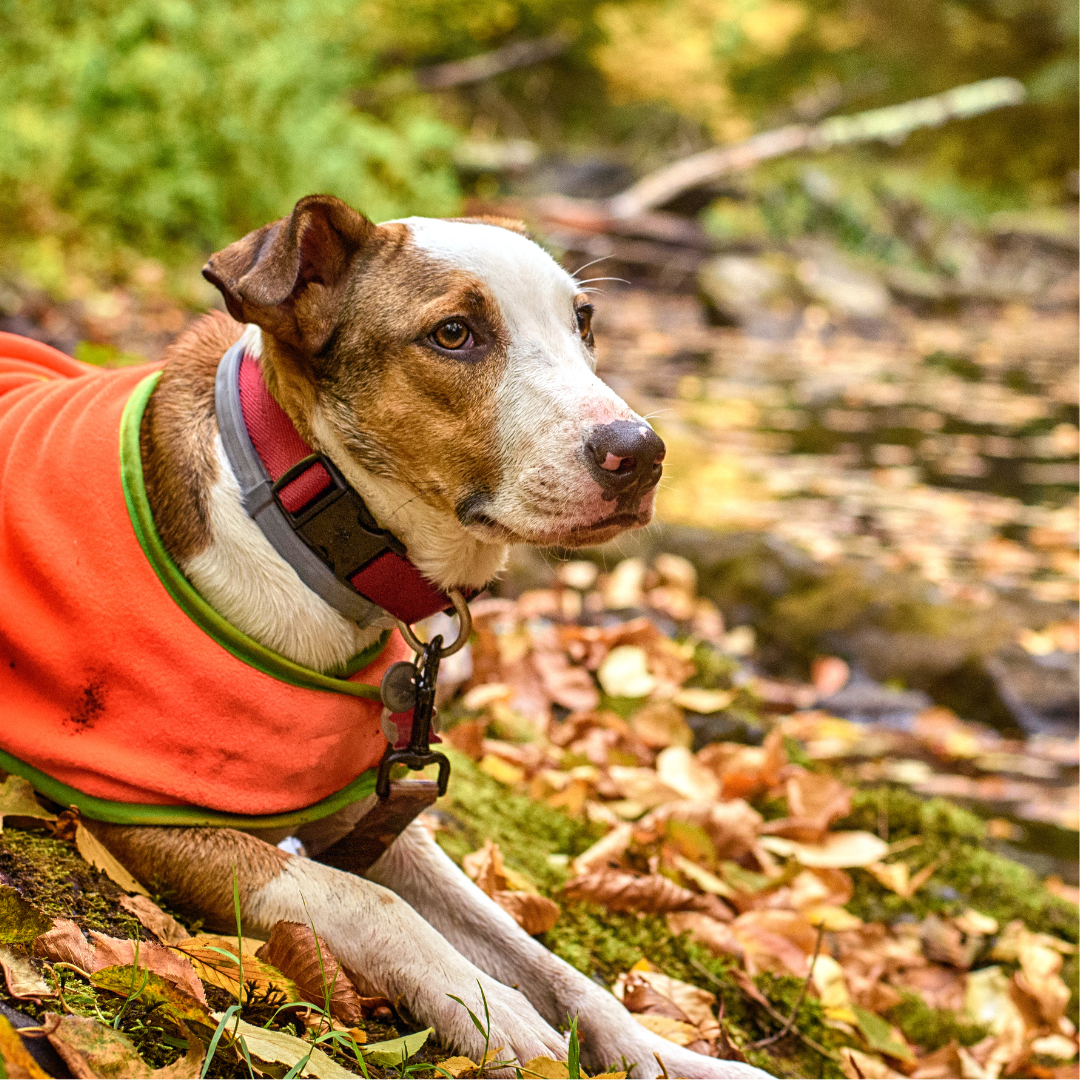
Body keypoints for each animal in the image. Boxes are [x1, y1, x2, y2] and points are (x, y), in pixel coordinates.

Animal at [2, 196, 777, 1080]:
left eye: (583, 321)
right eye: (453, 334)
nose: (640, 453)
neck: (305, 520)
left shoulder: (369, 817)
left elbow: (540, 955)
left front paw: (663, 1053)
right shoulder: (147, 818)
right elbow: (367, 900)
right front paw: (490, 1015)